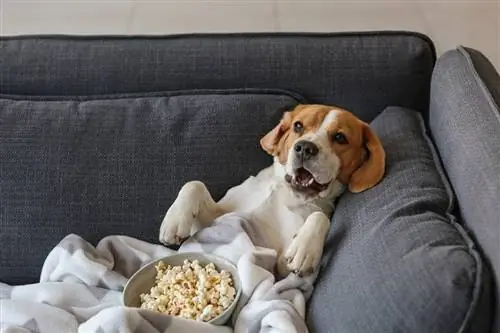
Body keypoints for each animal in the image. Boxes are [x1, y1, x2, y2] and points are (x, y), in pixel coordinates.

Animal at [158, 104, 384, 278]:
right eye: (298, 126)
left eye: (340, 137)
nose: (305, 148)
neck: (284, 192)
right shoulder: (213, 219)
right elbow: (194, 184)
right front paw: (174, 220)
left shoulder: (280, 266)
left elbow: (319, 217)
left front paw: (305, 248)